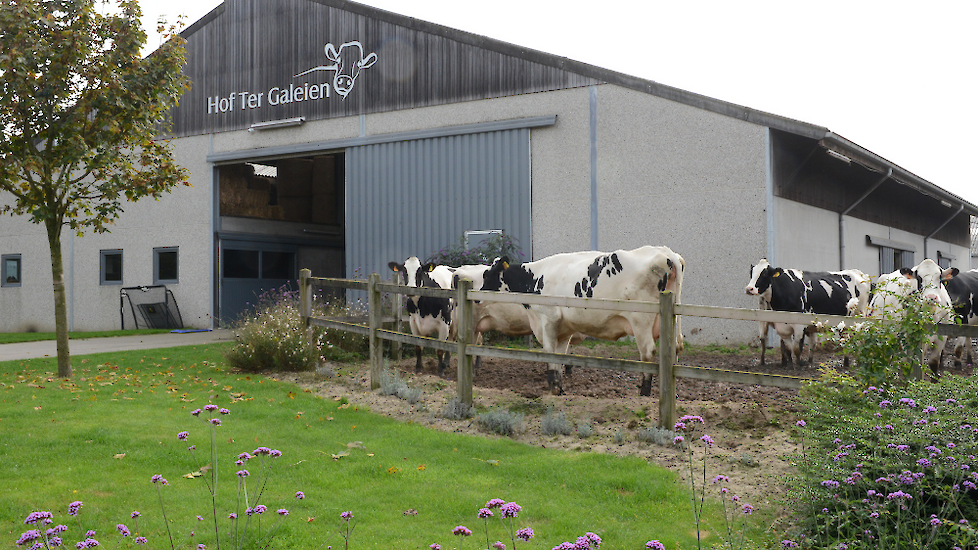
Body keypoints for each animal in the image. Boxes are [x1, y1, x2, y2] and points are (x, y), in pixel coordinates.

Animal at [478, 248, 680, 398]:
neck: (535, 279)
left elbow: (549, 353)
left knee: (648, 352)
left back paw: (644, 393)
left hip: (641, 320)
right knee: (675, 349)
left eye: (488, 274)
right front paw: (559, 388)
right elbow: (559, 355)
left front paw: (553, 387)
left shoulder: (548, 319)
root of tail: (667, 253)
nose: (477, 298)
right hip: (672, 320)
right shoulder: (563, 328)